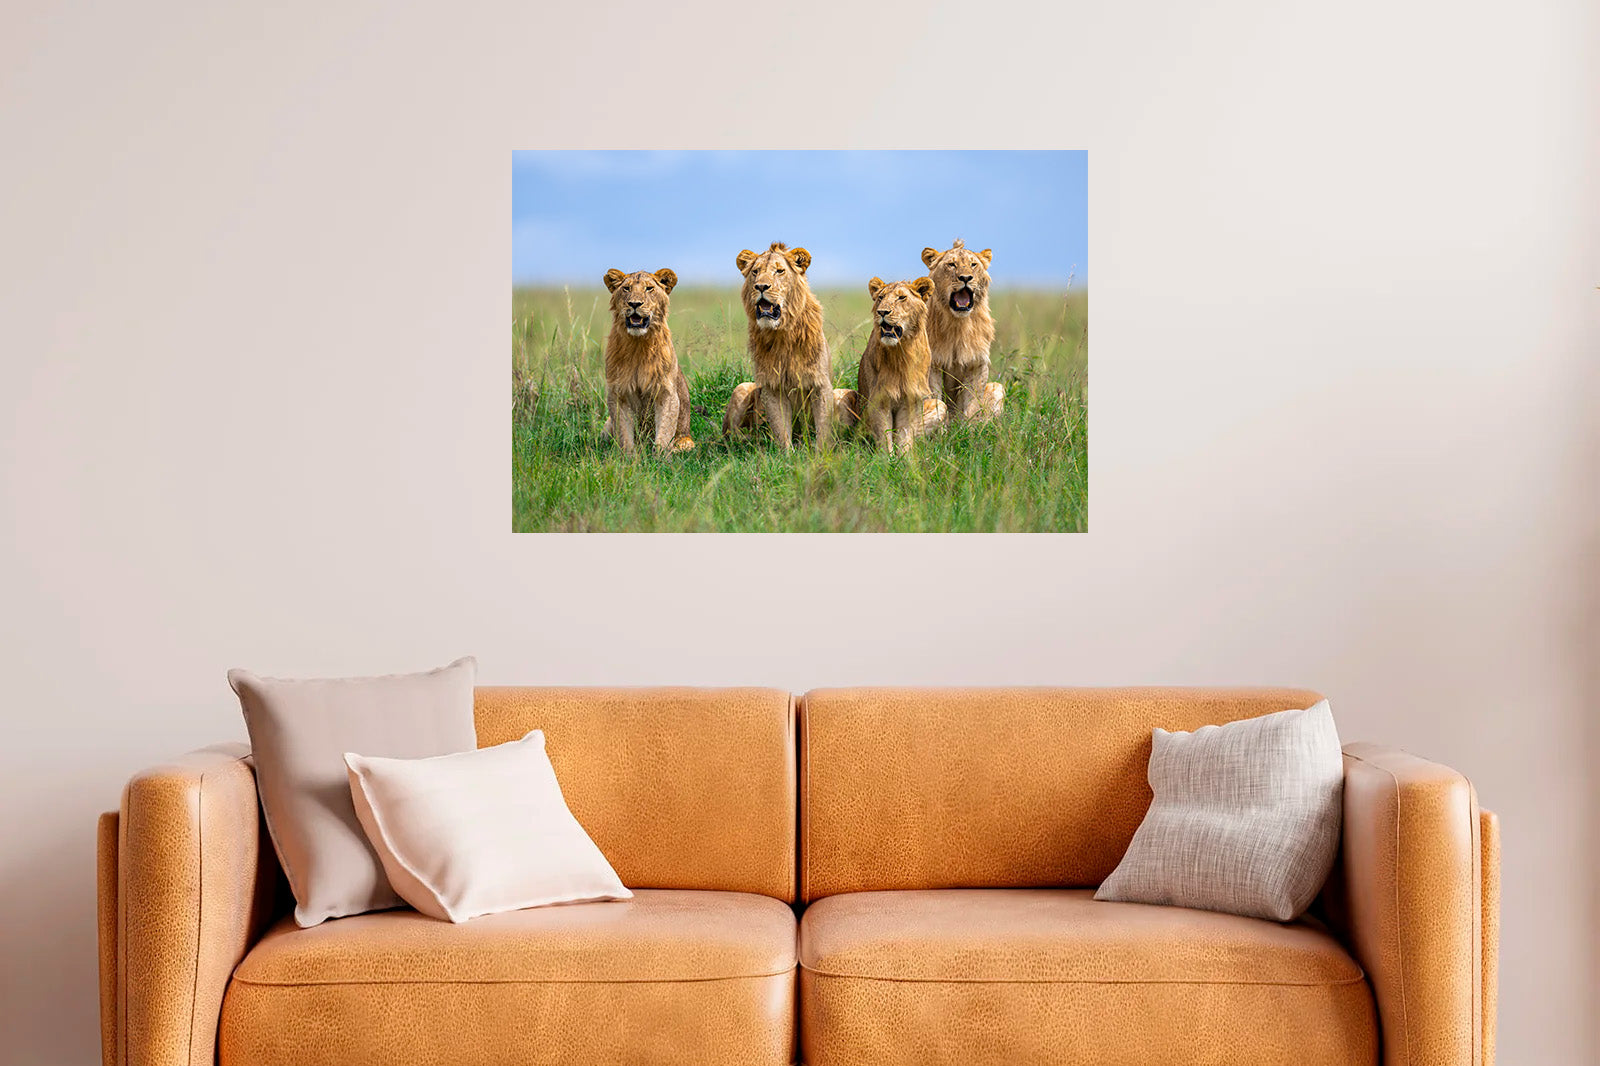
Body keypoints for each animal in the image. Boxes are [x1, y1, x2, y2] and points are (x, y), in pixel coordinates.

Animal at [600, 267, 694, 456]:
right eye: (626, 288)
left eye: (649, 288)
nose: (634, 304)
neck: (638, 345)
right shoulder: (618, 392)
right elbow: (624, 433)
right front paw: (628, 457)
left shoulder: (666, 391)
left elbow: (665, 430)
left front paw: (661, 458)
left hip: (687, 442)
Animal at [721, 242, 833, 449]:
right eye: (755, 272)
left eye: (779, 271)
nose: (761, 286)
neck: (782, 333)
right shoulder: (772, 386)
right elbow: (781, 431)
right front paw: (788, 455)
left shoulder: (821, 384)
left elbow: (823, 428)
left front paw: (822, 454)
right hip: (741, 388)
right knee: (730, 436)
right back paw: (754, 440)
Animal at [856, 276, 940, 453]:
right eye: (881, 297)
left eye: (901, 298)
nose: (882, 312)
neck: (901, 353)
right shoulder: (879, 398)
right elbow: (884, 434)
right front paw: (887, 458)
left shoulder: (910, 399)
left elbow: (905, 436)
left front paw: (905, 458)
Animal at [922, 238, 1005, 423]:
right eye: (951, 264)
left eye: (973, 264)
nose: (966, 278)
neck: (958, 324)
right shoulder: (933, 362)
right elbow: (935, 398)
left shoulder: (977, 362)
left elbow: (972, 404)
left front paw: (969, 427)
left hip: (997, 387)